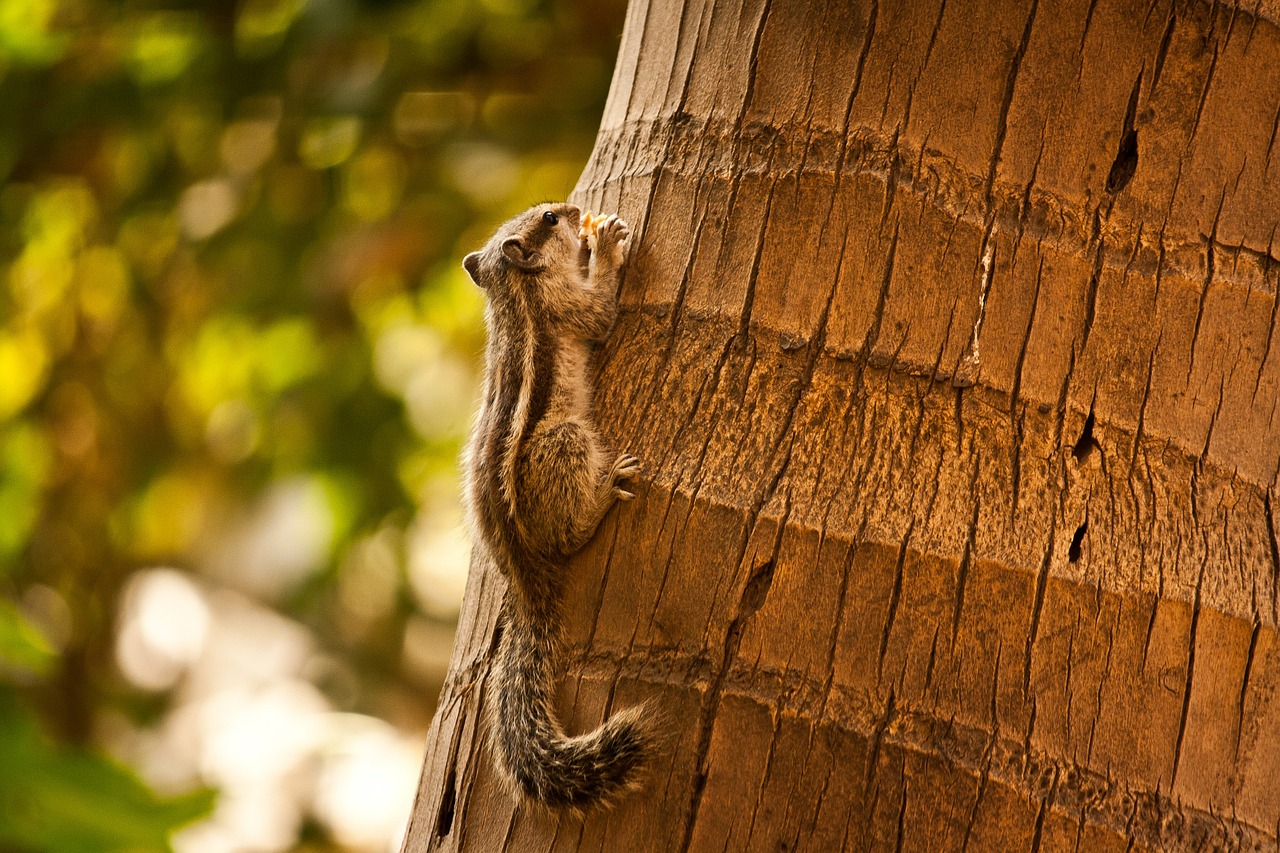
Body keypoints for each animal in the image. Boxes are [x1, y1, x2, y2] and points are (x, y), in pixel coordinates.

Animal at [460, 202, 650, 809]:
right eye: (549, 218)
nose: (572, 209)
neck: (515, 290)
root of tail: (525, 573)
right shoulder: (569, 308)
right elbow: (603, 310)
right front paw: (605, 246)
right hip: (564, 440)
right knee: (571, 535)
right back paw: (605, 492)